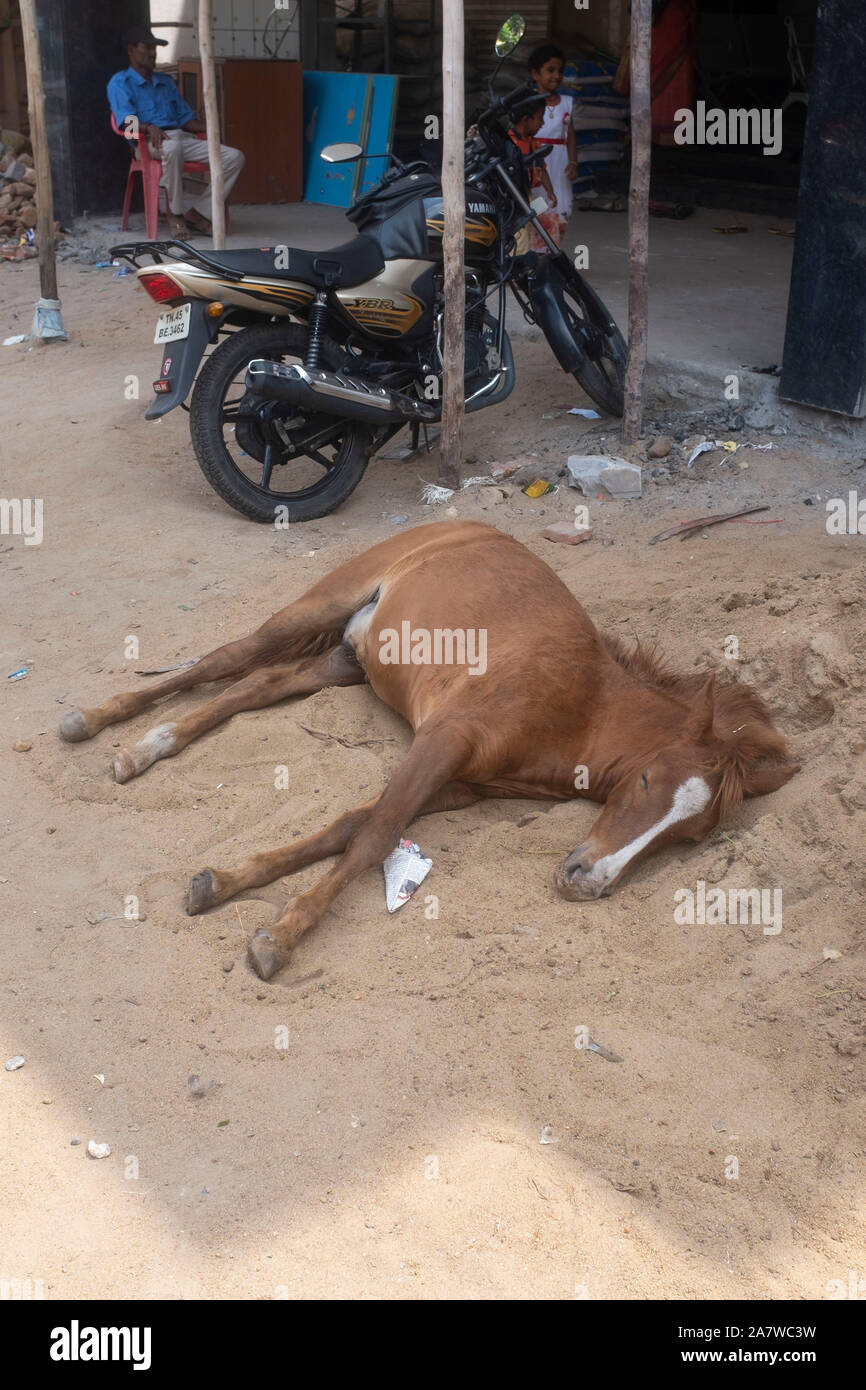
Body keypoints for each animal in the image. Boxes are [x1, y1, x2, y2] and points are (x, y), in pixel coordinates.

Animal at [59, 521, 798, 979]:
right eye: (646, 782)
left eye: (691, 838)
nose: (588, 881)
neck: (581, 707)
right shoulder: (444, 740)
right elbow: (376, 835)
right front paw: (281, 938)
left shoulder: (461, 783)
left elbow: (348, 826)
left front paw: (223, 882)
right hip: (320, 606)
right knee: (221, 660)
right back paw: (104, 730)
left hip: (343, 661)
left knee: (249, 687)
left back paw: (151, 746)